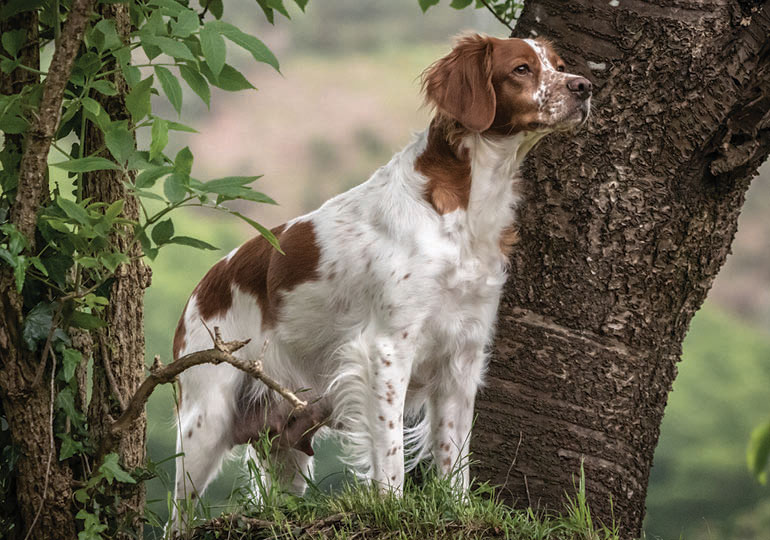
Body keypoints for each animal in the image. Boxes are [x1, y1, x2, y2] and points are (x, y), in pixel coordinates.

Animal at [168, 33, 588, 528]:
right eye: (521, 69)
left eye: (558, 64)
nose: (584, 87)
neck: (464, 213)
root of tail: (200, 290)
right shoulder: (386, 349)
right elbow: (389, 453)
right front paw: (393, 507)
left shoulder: (463, 355)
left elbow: (455, 455)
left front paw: (458, 508)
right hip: (205, 420)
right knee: (176, 518)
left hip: (287, 440)